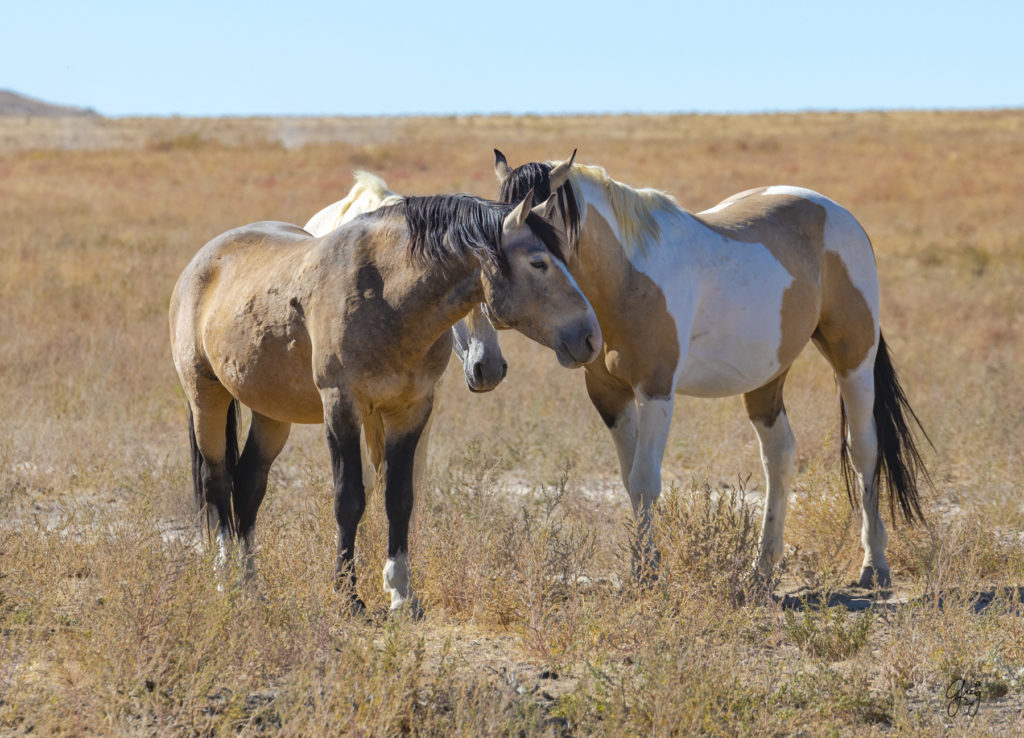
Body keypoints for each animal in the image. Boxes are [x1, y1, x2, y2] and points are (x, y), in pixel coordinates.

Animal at [167, 190, 598, 610]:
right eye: (539, 262)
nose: (591, 337)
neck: (387, 294)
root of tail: (203, 260)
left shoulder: (410, 411)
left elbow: (399, 497)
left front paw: (401, 592)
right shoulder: (342, 407)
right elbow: (349, 499)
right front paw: (347, 596)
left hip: (271, 412)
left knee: (248, 486)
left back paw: (252, 588)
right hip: (206, 396)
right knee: (217, 482)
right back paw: (224, 580)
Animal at [493, 149, 929, 585]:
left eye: (539, 256)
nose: (494, 309)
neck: (627, 274)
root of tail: (840, 214)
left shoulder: (655, 388)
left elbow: (645, 480)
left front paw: (648, 572)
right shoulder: (608, 394)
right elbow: (629, 480)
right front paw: (642, 566)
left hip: (853, 359)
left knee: (864, 449)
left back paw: (874, 564)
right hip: (767, 376)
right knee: (780, 454)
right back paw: (762, 566)